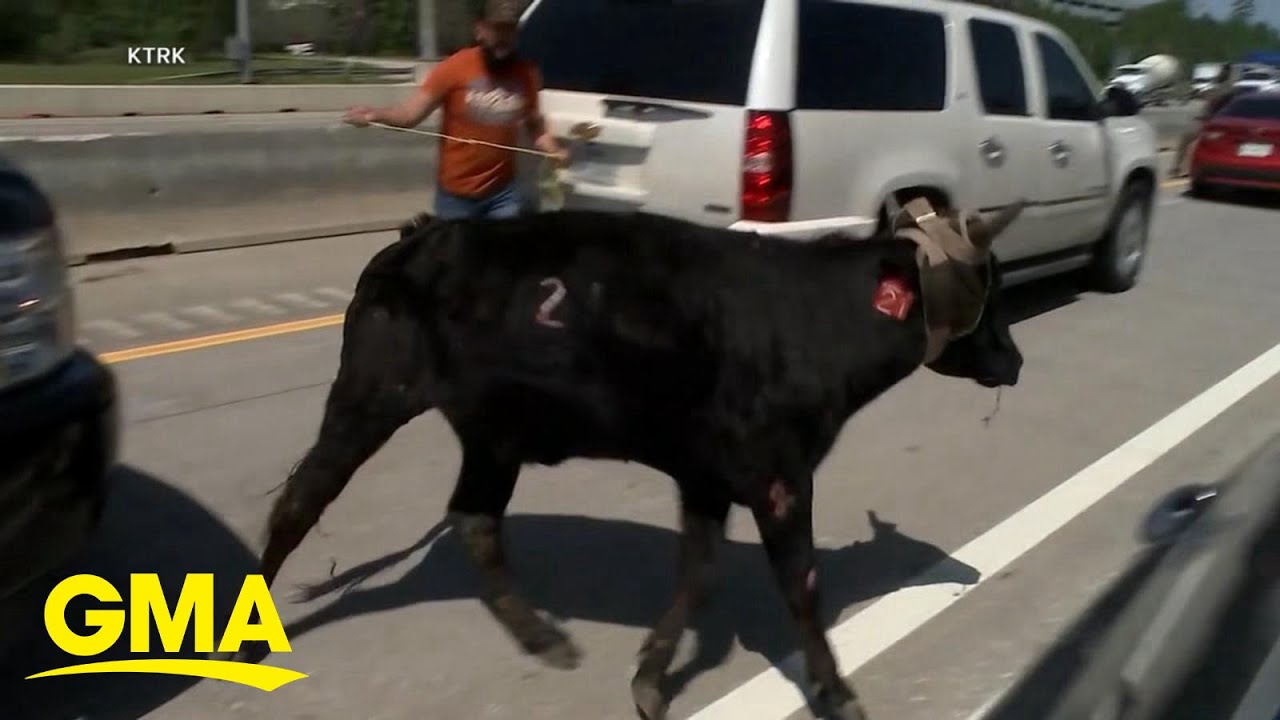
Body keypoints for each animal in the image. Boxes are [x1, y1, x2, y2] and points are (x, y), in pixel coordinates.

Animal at [225, 197, 1026, 720]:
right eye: (988, 282)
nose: (1015, 360)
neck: (816, 319)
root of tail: (416, 238)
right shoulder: (778, 474)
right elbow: (800, 586)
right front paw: (837, 693)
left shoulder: (709, 477)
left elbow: (698, 575)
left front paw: (648, 678)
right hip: (371, 395)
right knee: (301, 501)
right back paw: (246, 638)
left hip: (492, 433)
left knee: (474, 518)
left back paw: (545, 638)